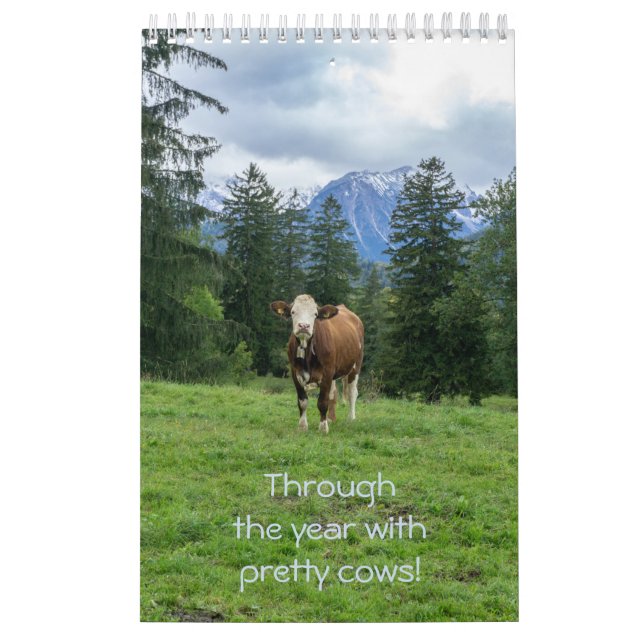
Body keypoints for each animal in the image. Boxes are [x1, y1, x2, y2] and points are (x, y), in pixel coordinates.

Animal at [270, 294, 364, 434]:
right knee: (333, 394)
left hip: (355, 365)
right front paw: (302, 426)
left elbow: (322, 402)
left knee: (352, 392)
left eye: (315, 314)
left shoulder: (327, 372)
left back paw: (351, 419)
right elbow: (302, 402)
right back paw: (331, 418)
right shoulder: (295, 373)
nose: (304, 326)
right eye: (293, 312)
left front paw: (323, 428)